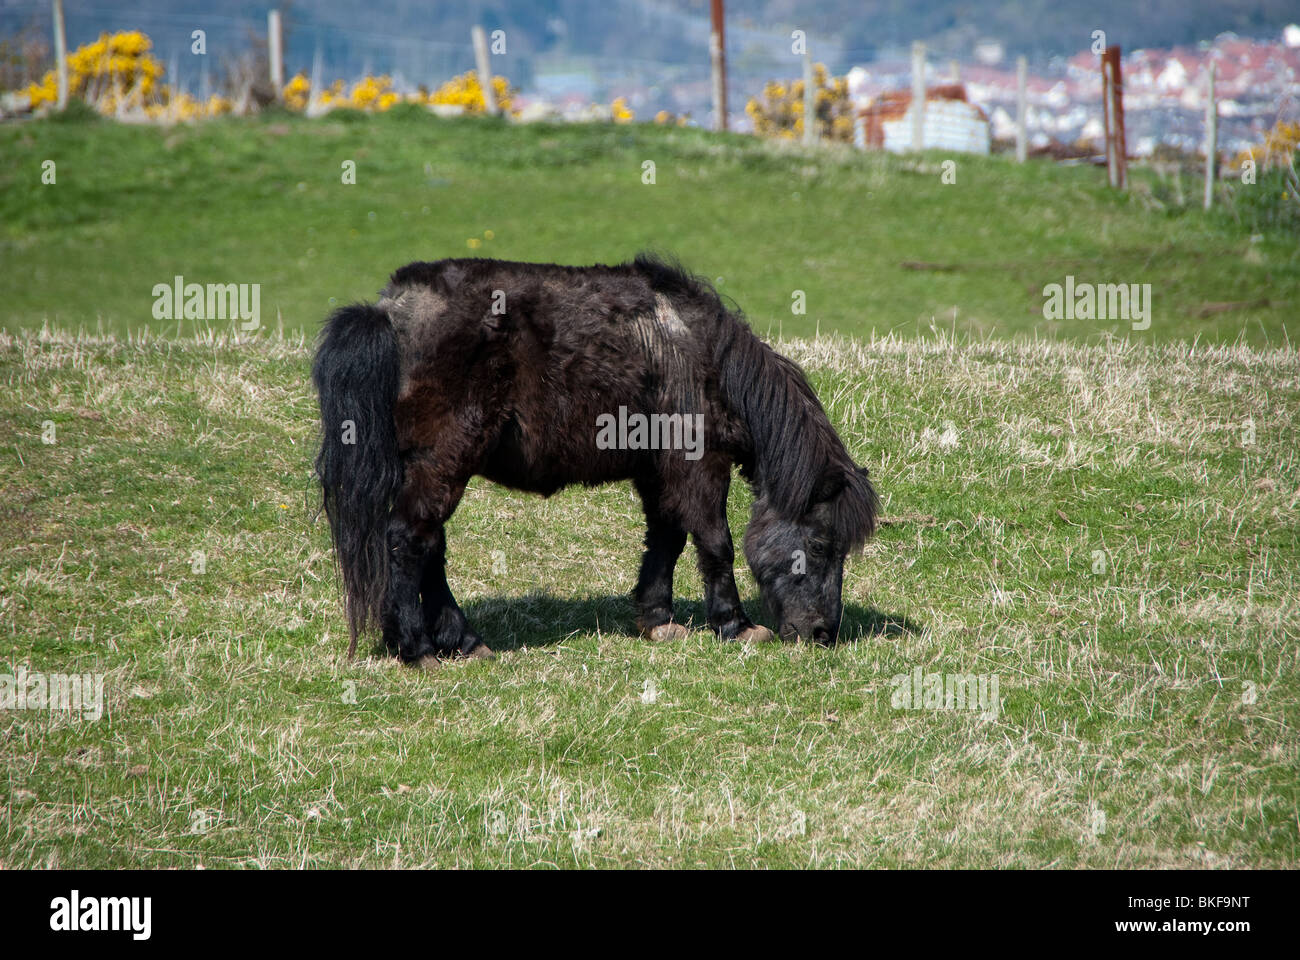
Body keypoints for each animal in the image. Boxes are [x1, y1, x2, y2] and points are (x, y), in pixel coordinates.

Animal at [314, 251, 878, 660]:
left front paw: (658, 620)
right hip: (443, 463)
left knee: (429, 548)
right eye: (822, 545)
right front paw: (734, 625)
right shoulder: (698, 467)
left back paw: (463, 642)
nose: (823, 634)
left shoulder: (658, 473)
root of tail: (389, 311)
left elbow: (667, 541)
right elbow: (715, 542)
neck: (702, 358)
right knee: (408, 542)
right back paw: (417, 648)